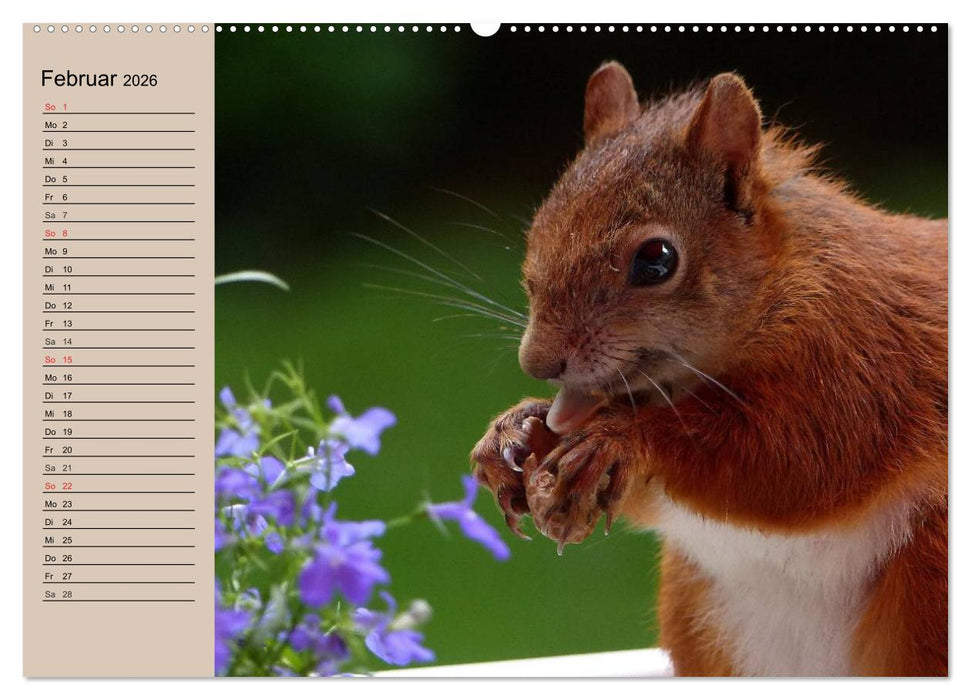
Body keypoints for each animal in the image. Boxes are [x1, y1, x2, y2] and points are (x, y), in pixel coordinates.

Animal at [470, 63, 947, 676]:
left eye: (657, 260)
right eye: (539, 228)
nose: (538, 362)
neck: (783, 282)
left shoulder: (861, 363)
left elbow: (797, 461)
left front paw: (621, 436)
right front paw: (515, 431)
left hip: (929, 579)